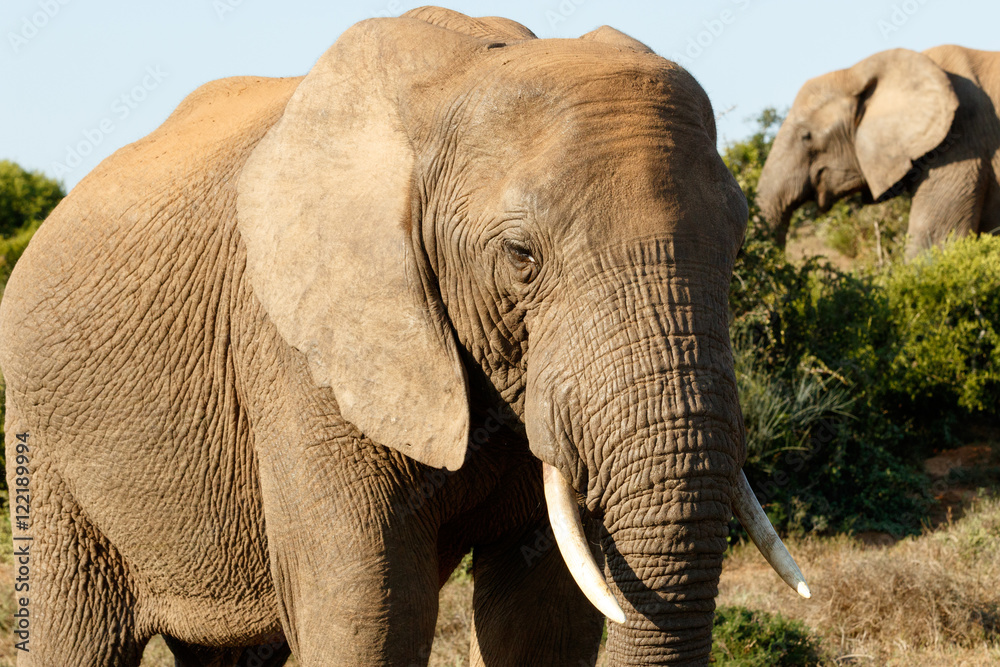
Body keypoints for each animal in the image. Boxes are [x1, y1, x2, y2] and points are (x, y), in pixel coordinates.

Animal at [0, 8, 808, 666]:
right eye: (522, 257)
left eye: (738, 244)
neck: (461, 80)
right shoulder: (298, 352)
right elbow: (369, 611)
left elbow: (541, 617)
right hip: (46, 449)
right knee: (74, 636)